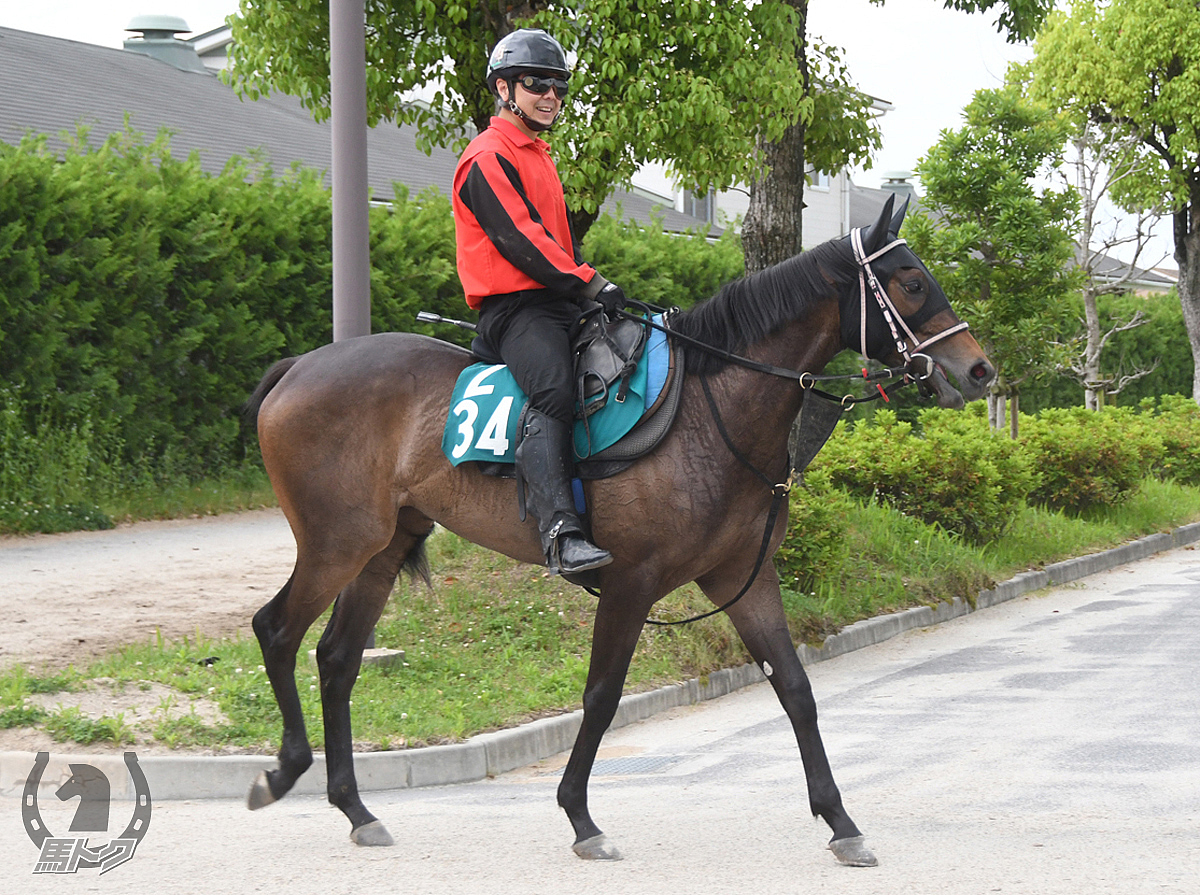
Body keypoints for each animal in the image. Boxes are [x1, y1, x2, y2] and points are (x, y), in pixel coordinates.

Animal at [241, 195, 993, 863]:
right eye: (912, 281)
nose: (978, 369)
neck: (708, 407)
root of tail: (300, 367)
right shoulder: (632, 582)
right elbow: (601, 696)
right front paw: (580, 817)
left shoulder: (742, 578)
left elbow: (796, 690)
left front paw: (841, 821)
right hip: (336, 544)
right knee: (276, 630)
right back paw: (284, 770)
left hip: (381, 549)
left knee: (337, 658)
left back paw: (356, 809)